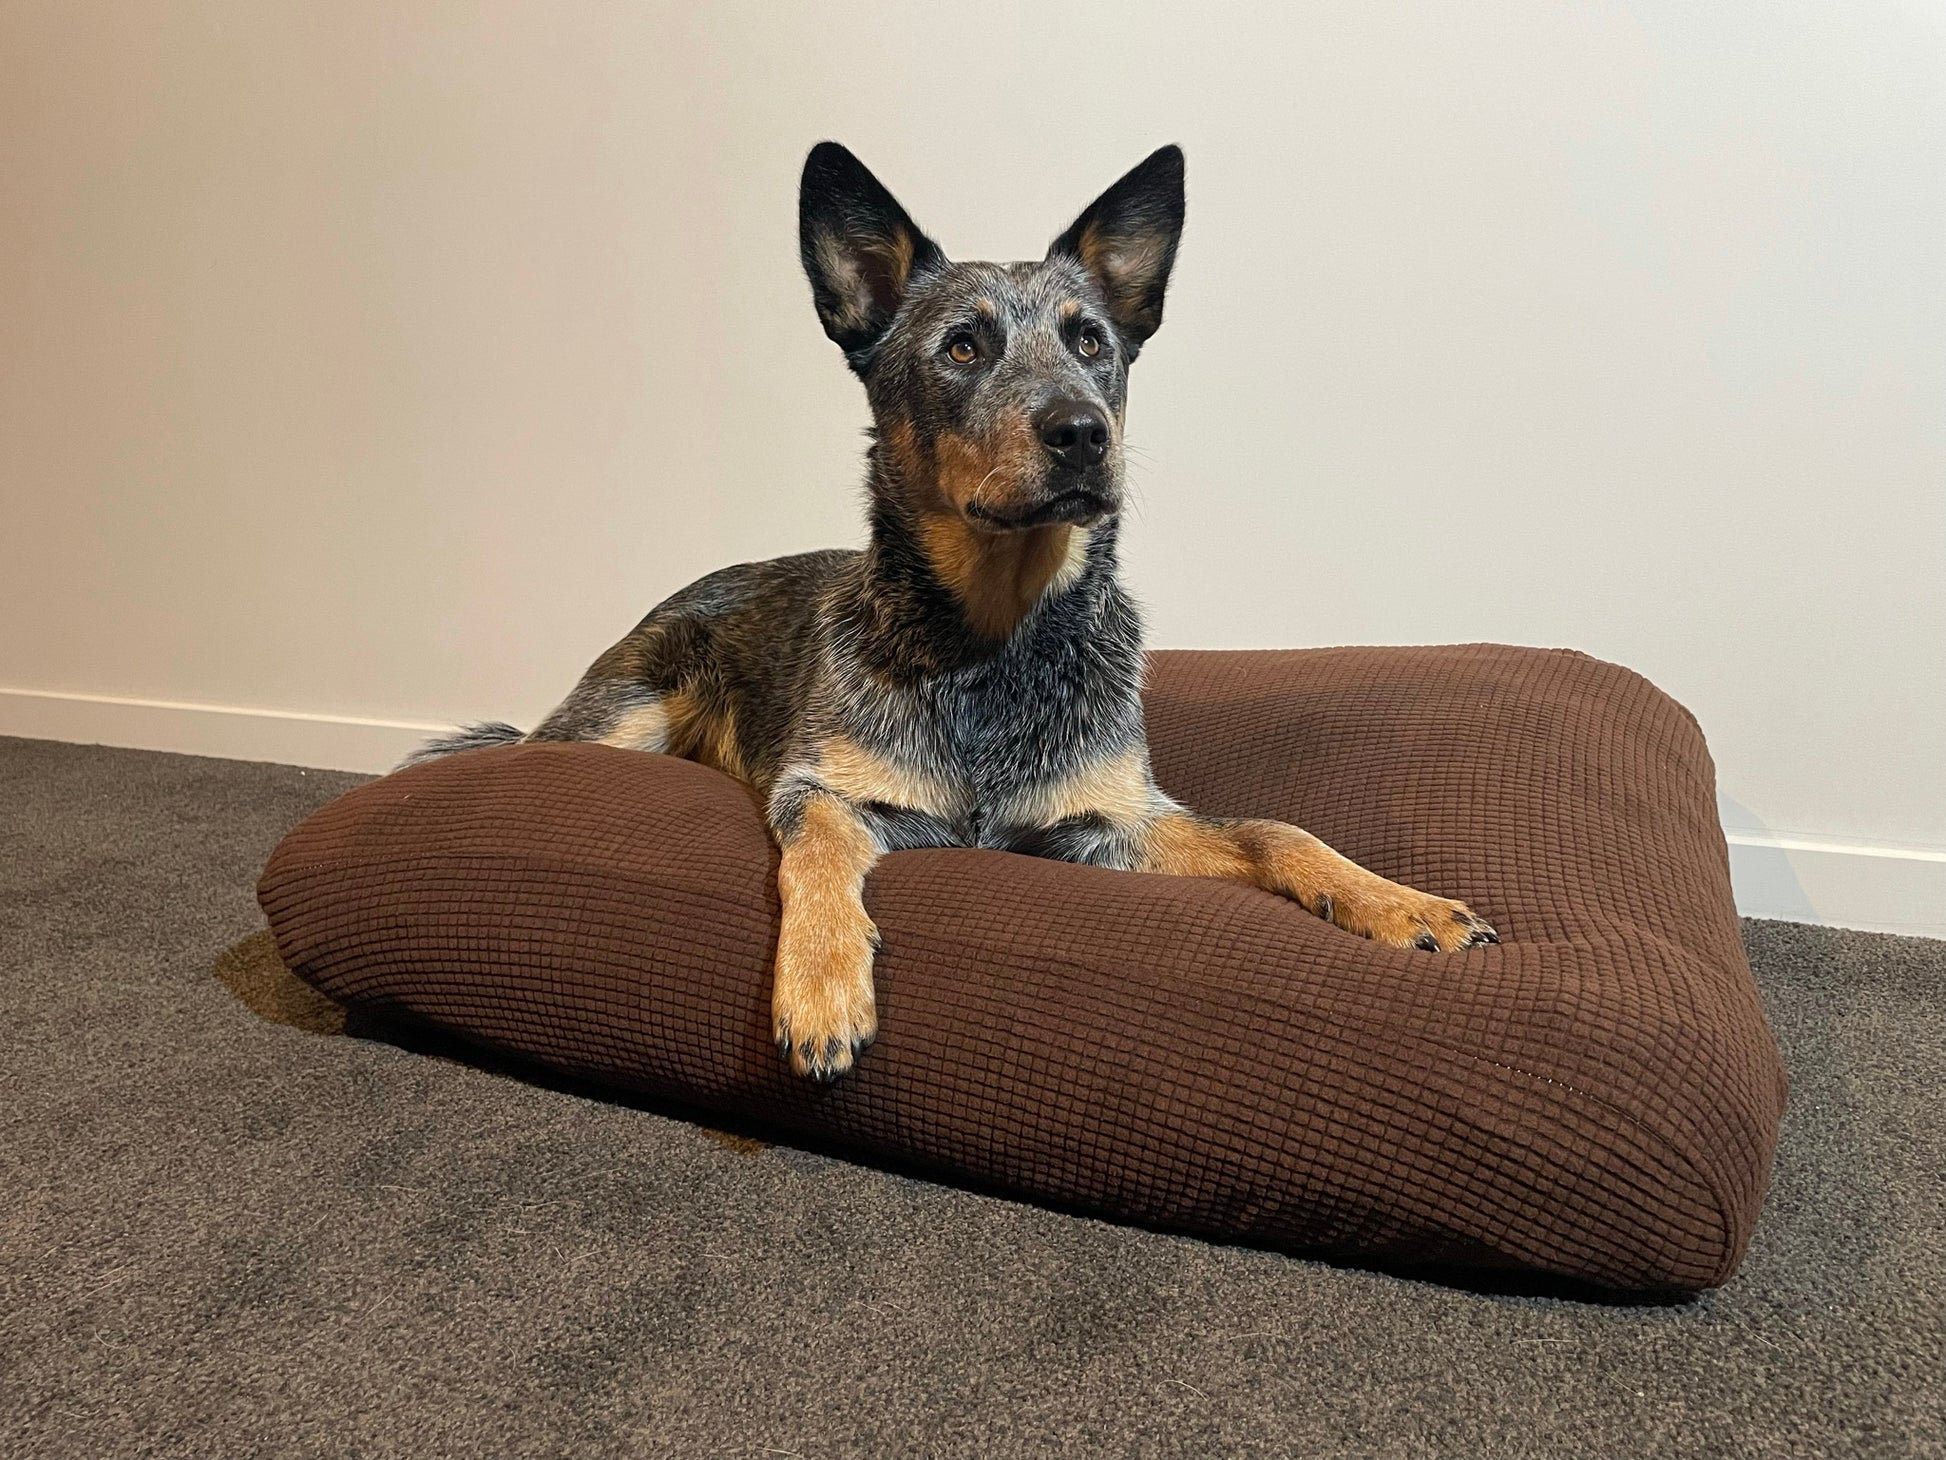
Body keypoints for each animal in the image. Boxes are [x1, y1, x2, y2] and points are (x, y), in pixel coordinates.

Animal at [410, 143, 1494, 1090]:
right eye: (963, 347)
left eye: (1091, 341)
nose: (1082, 434)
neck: (994, 643)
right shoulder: (825, 790)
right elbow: (818, 853)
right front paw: (822, 986)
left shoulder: (1105, 826)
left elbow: (1276, 829)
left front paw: (1400, 903)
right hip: (621, 716)